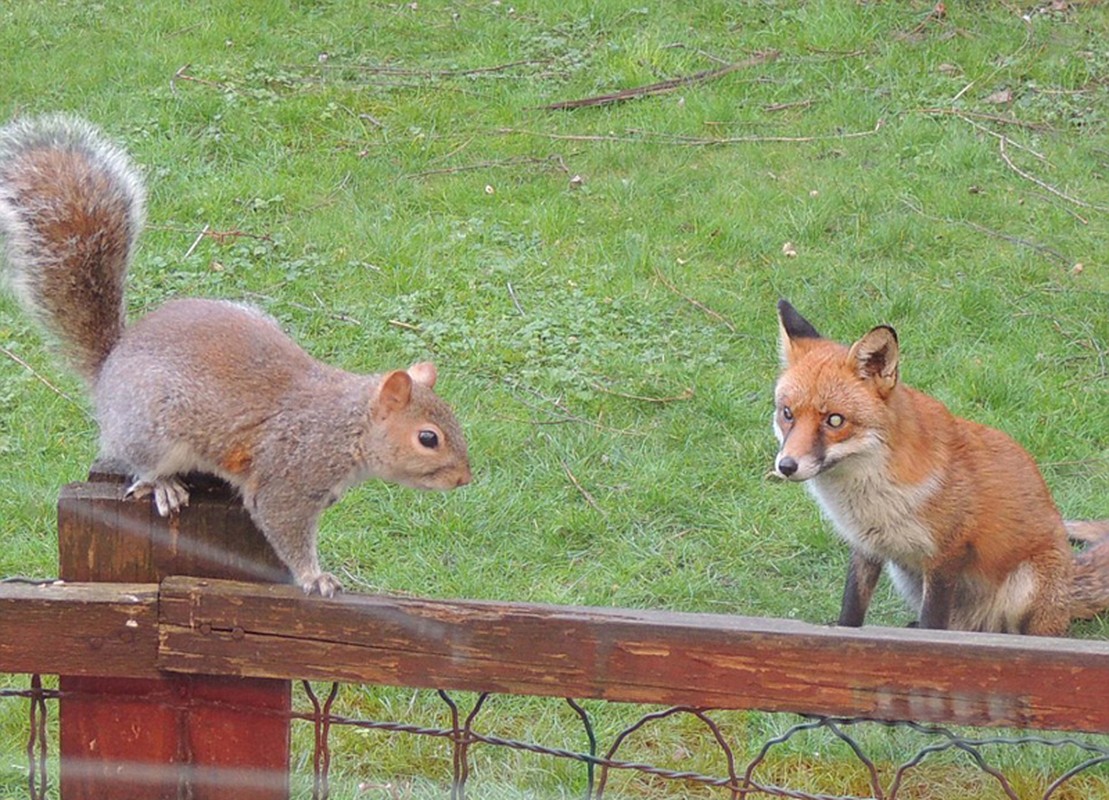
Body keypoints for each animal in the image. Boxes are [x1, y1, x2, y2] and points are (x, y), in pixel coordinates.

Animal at [0, 115, 472, 594]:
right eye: (428, 438)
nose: (464, 479)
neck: (348, 424)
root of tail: (111, 366)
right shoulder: (289, 477)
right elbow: (284, 524)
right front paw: (314, 577)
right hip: (150, 427)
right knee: (140, 464)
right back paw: (164, 485)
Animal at [771, 299, 1109, 634]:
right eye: (787, 414)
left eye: (835, 420)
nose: (786, 466)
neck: (871, 495)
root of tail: (1069, 581)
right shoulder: (866, 548)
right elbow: (851, 612)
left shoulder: (946, 555)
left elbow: (933, 625)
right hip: (904, 575)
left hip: (1025, 588)